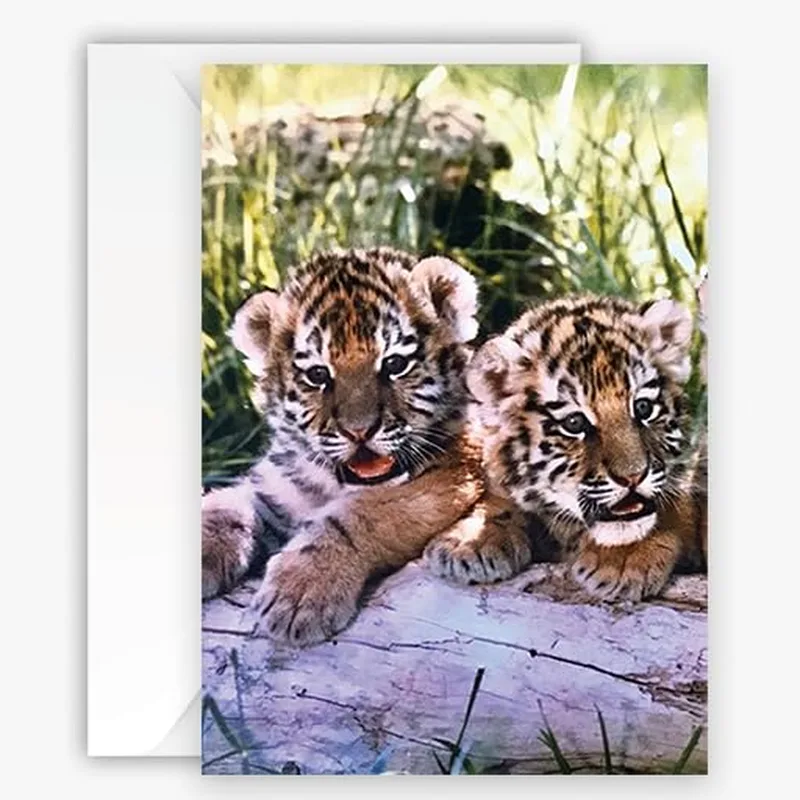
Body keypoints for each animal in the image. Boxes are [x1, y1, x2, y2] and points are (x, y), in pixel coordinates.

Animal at [202, 246, 499, 646]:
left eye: (395, 364)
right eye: (318, 375)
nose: (359, 431)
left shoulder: (451, 473)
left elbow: (355, 515)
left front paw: (299, 594)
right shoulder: (274, 486)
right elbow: (224, 507)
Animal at [424, 293, 707, 601]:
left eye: (643, 408)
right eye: (574, 423)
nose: (633, 476)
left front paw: (622, 560)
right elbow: (499, 501)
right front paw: (465, 543)